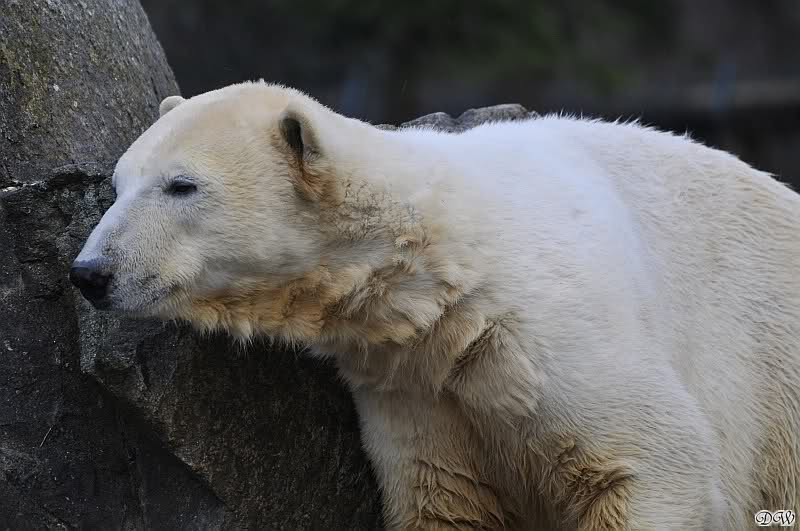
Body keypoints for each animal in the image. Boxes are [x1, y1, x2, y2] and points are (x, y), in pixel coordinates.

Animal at [70, 81, 800, 530]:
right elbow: (445, 498)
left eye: (181, 185)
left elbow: (655, 456)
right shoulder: (414, 386)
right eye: (119, 183)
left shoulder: (560, 334)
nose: (90, 272)